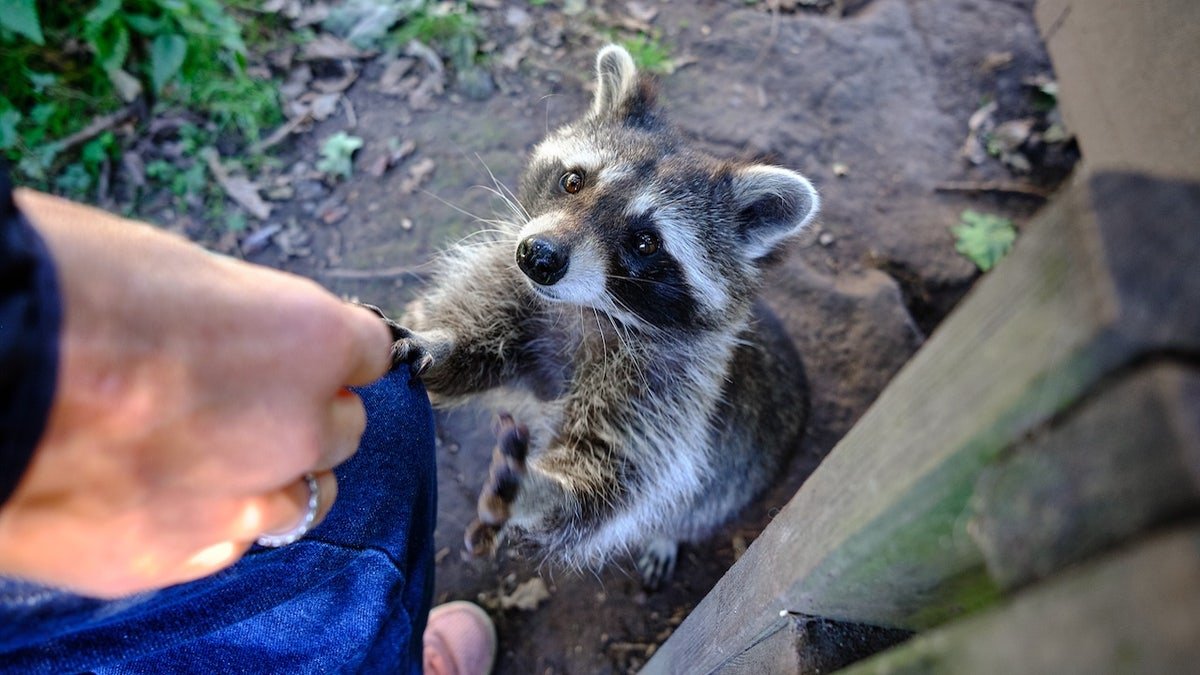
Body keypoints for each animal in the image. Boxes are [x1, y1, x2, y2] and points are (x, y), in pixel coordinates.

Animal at [383, 45, 818, 588]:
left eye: (645, 242)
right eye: (573, 181)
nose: (538, 257)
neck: (584, 309)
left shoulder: (669, 383)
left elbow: (620, 472)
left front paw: (544, 492)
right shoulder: (519, 298)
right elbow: (484, 344)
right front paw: (440, 343)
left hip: (739, 477)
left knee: (692, 505)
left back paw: (667, 534)